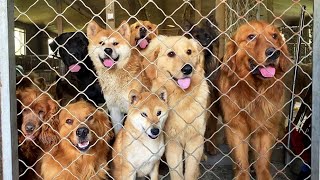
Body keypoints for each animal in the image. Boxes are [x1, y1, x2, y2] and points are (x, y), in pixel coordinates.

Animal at [143, 35, 210, 180]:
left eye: (189, 52)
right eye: (171, 54)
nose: (187, 69)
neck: (182, 98)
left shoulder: (194, 139)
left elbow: (190, 171)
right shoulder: (172, 142)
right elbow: (176, 172)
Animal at [219, 20, 292, 179]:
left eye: (274, 36)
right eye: (251, 37)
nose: (274, 53)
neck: (255, 91)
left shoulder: (267, 128)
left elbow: (262, 162)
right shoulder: (236, 128)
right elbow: (241, 161)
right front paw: (241, 174)